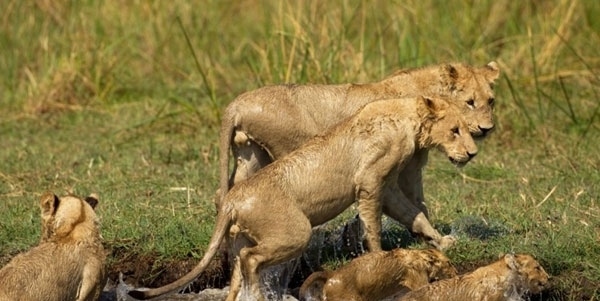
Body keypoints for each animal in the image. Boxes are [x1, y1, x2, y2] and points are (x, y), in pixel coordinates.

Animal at [218, 61, 500, 248]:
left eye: (491, 100)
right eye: (470, 102)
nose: (487, 129)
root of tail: (237, 104)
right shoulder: (407, 167)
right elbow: (417, 203)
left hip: (251, 154)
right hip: (286, 153)